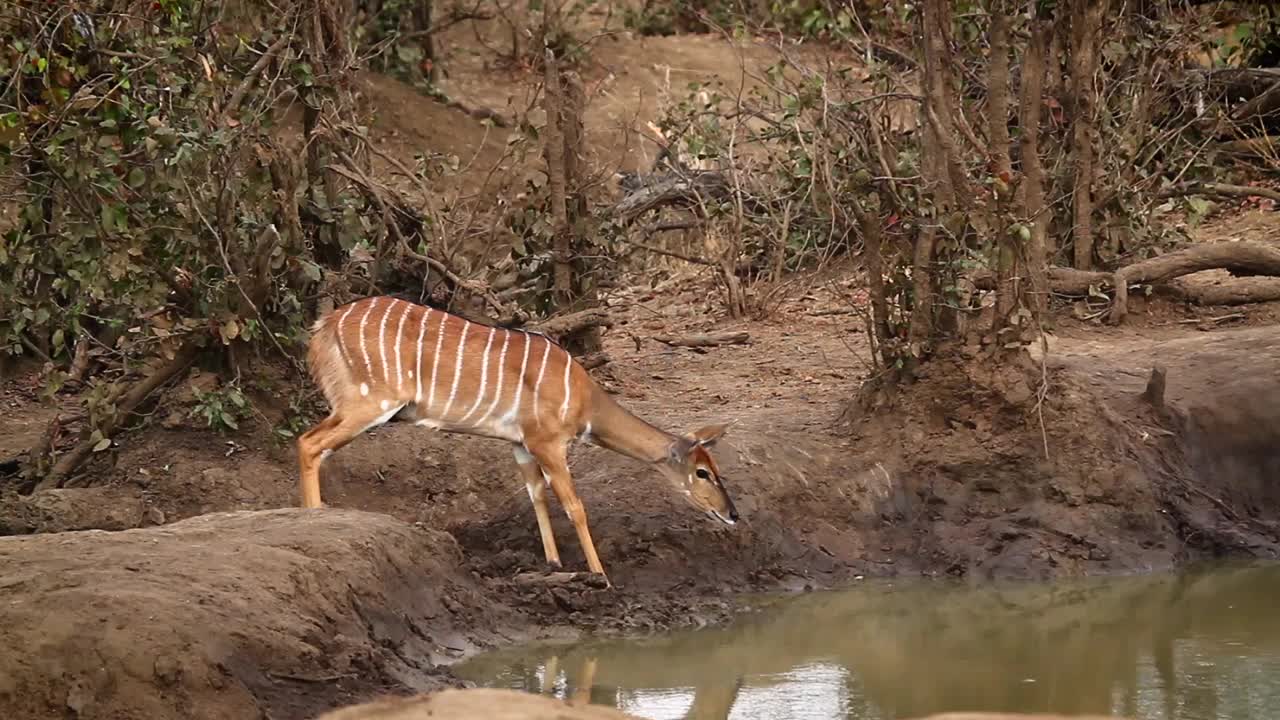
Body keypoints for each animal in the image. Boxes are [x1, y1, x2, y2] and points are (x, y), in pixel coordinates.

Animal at [296, 294, 742, 579]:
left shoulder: (520, 445)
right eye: (703, 472)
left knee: (311, 442)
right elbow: (574, 505)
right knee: (309, 443)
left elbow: (537, 497)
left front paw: (554, 564)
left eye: (716, 468)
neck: (585, 401)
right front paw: (600, 574)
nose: (732, 514)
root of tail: (324, 326)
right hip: (371, 402)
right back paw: (315, 519)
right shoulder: (548, 442)